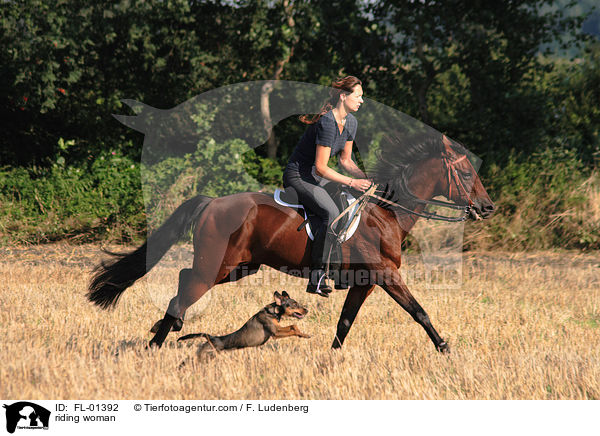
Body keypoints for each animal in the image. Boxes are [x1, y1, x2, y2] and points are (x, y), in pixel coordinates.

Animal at [88, 133, 492, 350]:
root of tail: (211, 202)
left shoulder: (366, 282)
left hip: (239, 267)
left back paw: (167, 328)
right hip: (218, 265)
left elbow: (345, 323)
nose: (488, 208)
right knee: (186, 288)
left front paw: (331, 360)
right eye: (466, 174)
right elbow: (419, 312)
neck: (386, 213)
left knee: (185, 279)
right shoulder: (386, 275)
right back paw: (158, 340)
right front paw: (445, 350)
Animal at [177, 292, 310, 360]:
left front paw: (303, 334)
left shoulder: (277, 330)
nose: (307, 310)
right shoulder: (275, 332)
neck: (272, 312)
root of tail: (211, 337)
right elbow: (293, 326)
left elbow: (293, 326)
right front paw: (304, 335)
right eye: (294, 304)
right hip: (204, 355)